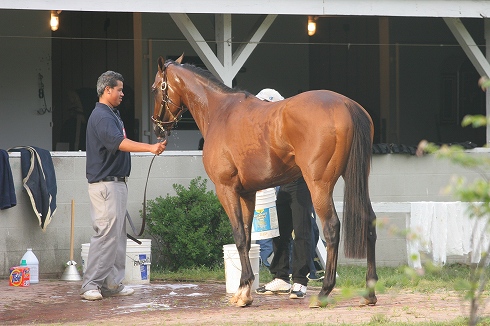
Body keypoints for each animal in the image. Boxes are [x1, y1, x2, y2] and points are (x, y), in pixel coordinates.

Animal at [151, 54, 378, 308]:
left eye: (154, 88)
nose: (157, 128)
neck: (220, 112)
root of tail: (347, 105)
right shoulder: (247, 194)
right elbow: (248, 238)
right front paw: (245, 289)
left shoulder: (226, 189)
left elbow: (239, 237)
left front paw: (242, 292)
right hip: (357, 181)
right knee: (369, 222)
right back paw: (370, 293)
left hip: (319, 186)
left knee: (331, 228)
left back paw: (323, 292)